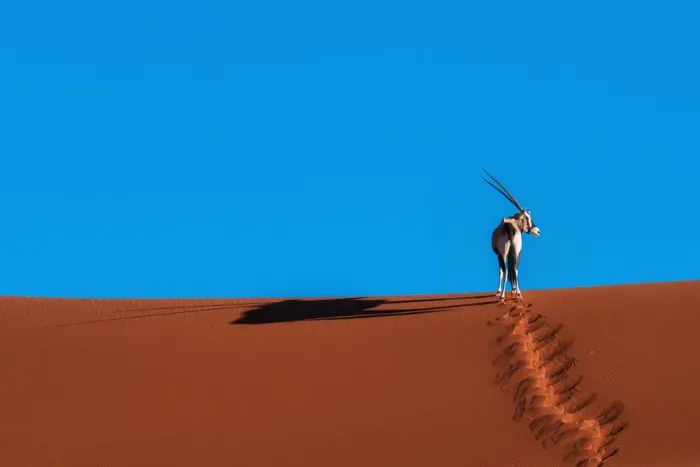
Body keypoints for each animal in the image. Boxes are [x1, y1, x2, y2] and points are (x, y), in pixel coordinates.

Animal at [482, 168, 540, 302]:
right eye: (527, 217)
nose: (538, 231)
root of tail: (508, 227)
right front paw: (514, 290)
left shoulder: (499, 254)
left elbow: (501, 271)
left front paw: (499, 291)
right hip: (516, 251)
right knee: (515, 269)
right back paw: (518, 293)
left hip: (503, 253)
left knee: (507, 271)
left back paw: (502, 296)